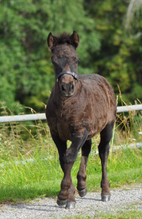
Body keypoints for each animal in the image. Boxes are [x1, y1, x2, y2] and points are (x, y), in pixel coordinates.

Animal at [46, 31, 116, 210]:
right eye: (54, 60)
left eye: (76, 59)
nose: (67, 87)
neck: (66, 105)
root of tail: (104, 81)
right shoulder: (56, 134)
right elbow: (63, 160)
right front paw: (70, 196)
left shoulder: (79, 131)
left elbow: (70, 157)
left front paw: (64, 197)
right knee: (86, 149)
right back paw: (82, 186)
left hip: (108, 126)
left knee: (103, 152)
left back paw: (105, 192)